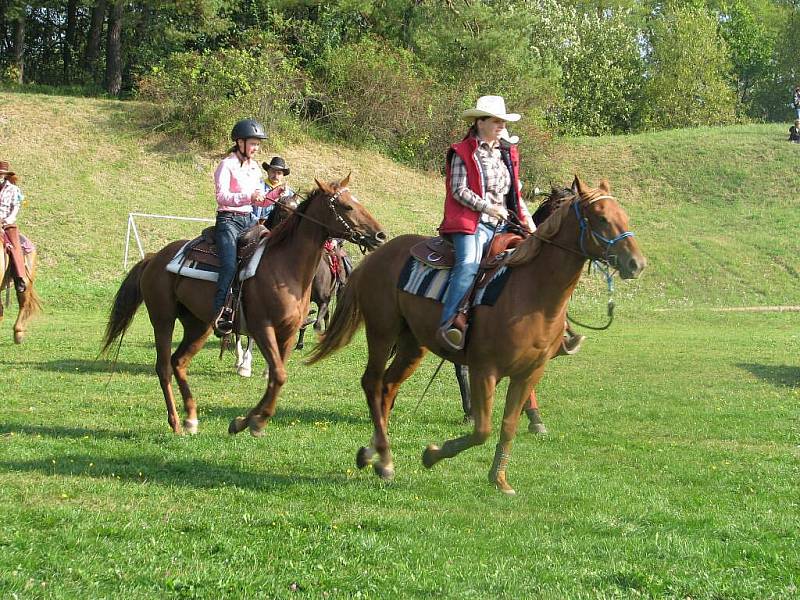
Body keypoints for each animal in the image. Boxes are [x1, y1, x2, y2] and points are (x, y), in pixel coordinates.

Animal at [104, 176, 388, 434]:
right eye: (347, 206)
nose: (380, 235)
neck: (285, 267)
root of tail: (154, 258)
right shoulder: (262, 328)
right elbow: (278, 374)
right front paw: (254, 420)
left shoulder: (287, 332)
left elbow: (276, 376)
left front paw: (244, 421)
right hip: (163, 319)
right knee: (163, 368)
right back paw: (175, 423)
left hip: (199, 325)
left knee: (179, 362)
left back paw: (191, 418)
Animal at [310, 177, 648, 492]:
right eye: (600, 217)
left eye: (624, 216)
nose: (637, 263)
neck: (532, 292)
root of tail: (378, 254)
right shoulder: (485, 369)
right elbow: (482, 429)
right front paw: (432, 454)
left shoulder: (530, 372)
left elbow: (508, 426)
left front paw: (499, 478)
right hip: (383, 330)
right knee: (372, 382)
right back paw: (384, 457)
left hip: (413, 343)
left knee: (388, 386)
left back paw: (375, 455)